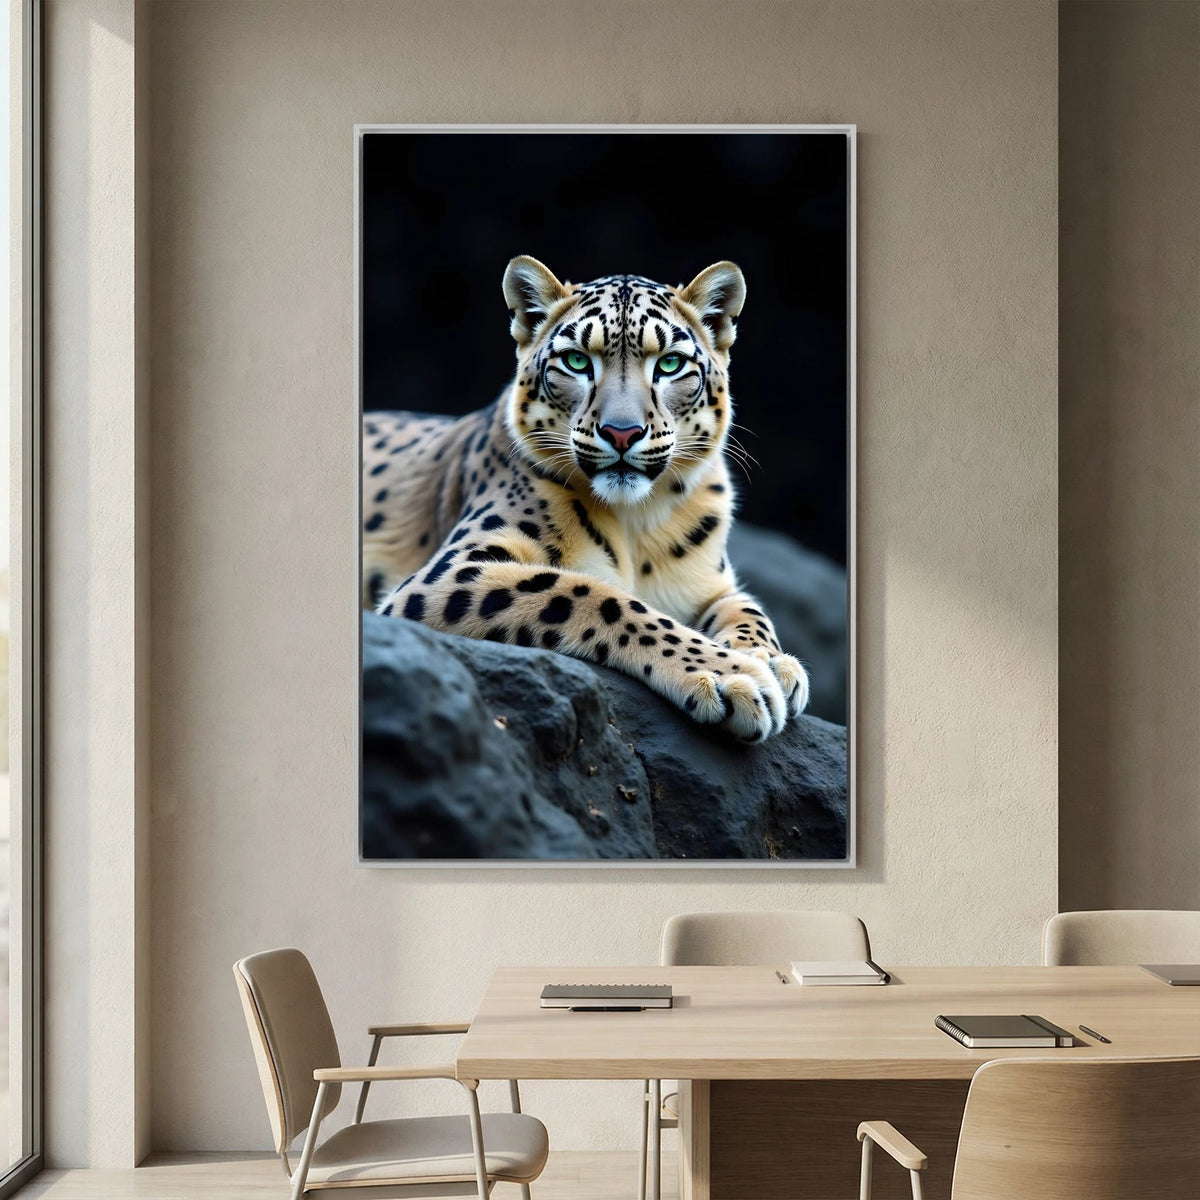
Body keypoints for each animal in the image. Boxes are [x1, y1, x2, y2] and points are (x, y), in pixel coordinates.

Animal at [362, 256, 809, 742]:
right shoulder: (451, 571)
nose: (622, 432)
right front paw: (734, 675)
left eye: (670, 363)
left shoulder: (711, 584)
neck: (638, 524)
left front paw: (773, 662)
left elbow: (749, 609)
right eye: (577, 360)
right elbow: (590, 593)